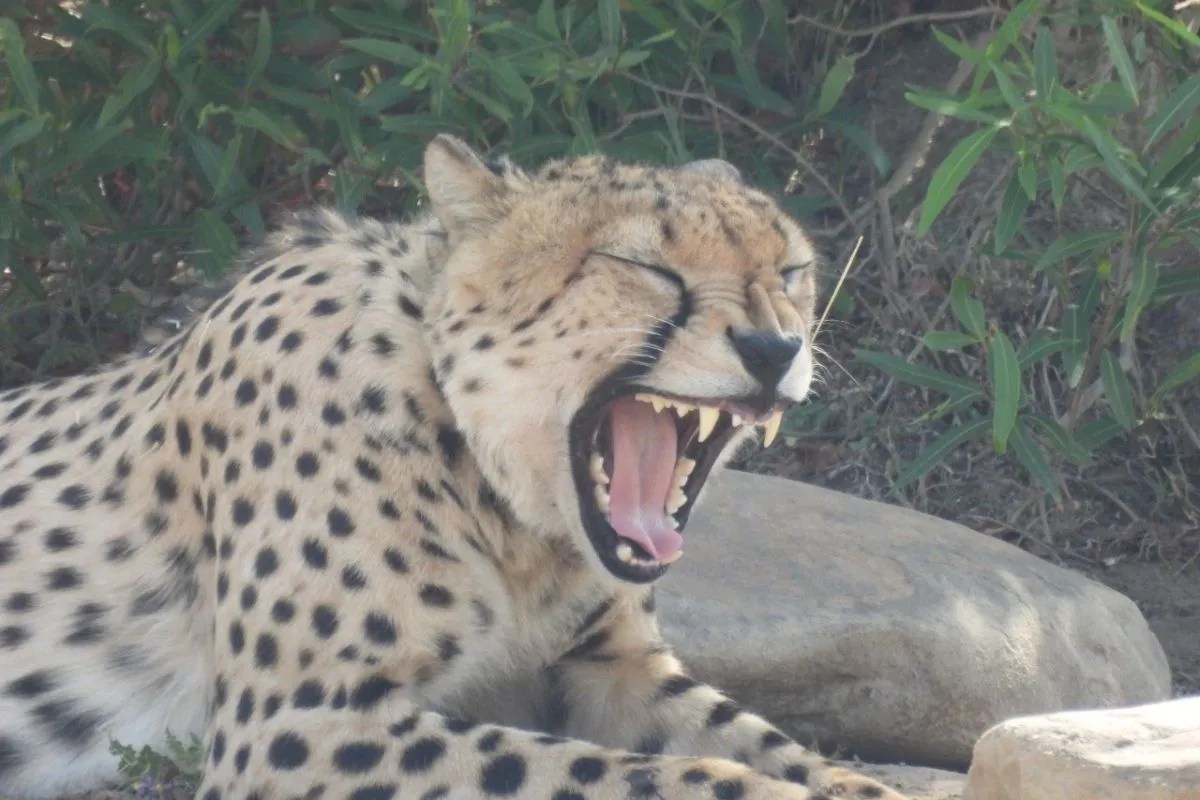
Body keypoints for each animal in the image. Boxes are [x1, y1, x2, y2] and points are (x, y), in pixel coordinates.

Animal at [0, 135, 908, 800]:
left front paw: (860, 786)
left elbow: (760, 744)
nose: (775, 348)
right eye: (645, 268)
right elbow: (637, 773)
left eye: (789, 271)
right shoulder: (296, 726)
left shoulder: (608, 667)